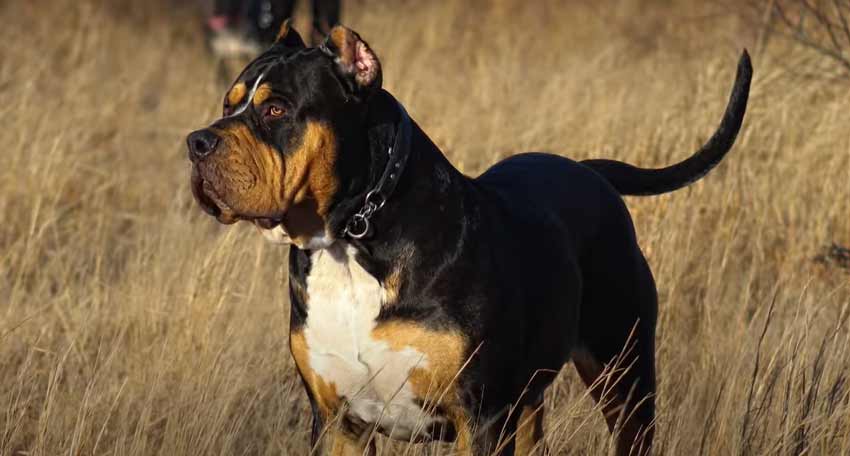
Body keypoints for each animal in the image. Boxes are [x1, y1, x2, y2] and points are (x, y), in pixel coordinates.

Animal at [184, 21, 748, 456]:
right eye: (228, 105)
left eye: (276, 109)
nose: (196, 142)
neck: (350, 241)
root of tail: (589, 172)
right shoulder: (337, 422)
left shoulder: (479, 417)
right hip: (533, 398)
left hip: (624, 376)